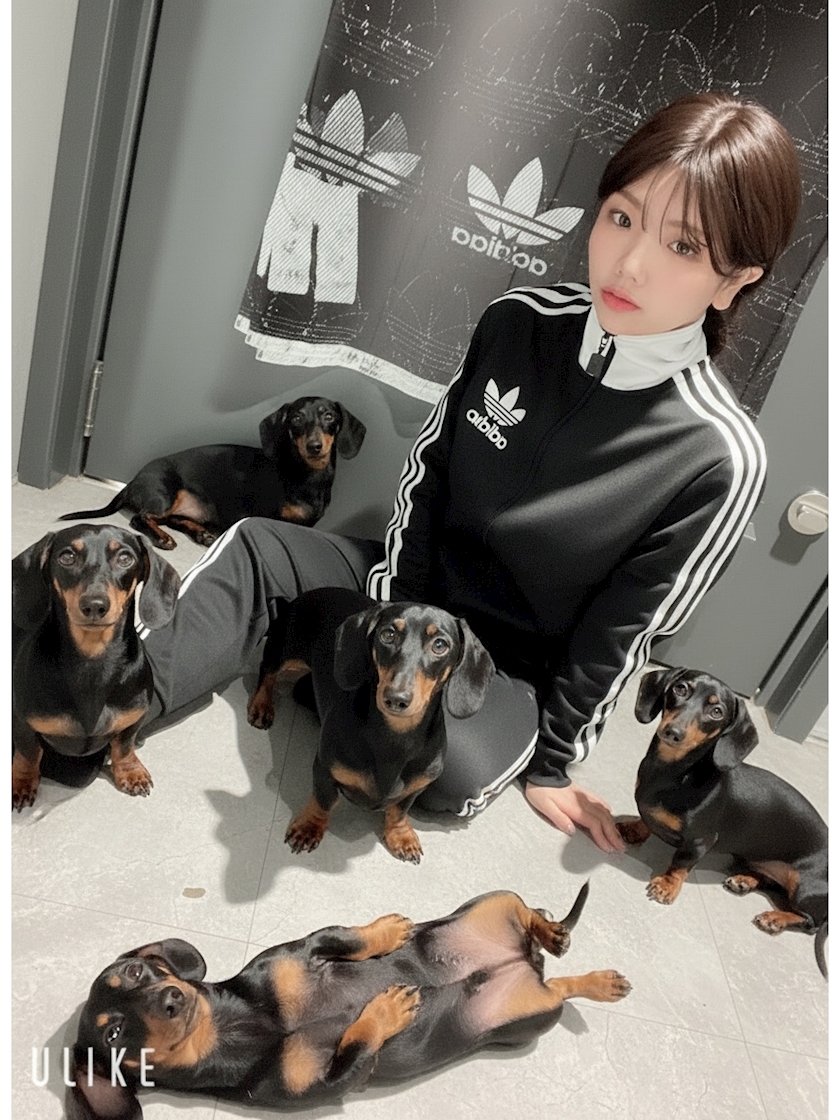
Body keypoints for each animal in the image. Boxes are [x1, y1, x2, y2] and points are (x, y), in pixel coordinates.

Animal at [12, 525, 180, 810]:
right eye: (67, 556)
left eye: (125, 558)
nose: (94, 605)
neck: (93, 662)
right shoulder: (21, 720)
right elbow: (29, 751)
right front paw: (22, 781)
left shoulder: (134, 717)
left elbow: (124, 744)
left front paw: (130, 772)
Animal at [59, 397, 366, 549]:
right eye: (297, 418)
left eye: (329, 416)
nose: (315, 446)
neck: (306, 476)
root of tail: (133, 481)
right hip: (164, 494)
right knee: (141, 518)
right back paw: (163, 538)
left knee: (175, 520)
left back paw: (201, 534)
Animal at [65, 883, 630, 1118]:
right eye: (114, 1034)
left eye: (135, 970)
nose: (171, 999)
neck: (244, 1025)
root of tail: (525, 962)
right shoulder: (337, 1081)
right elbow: (360, 1041)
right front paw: (389, 1009)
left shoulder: (305, 951)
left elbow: (350, 938)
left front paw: (390, 930)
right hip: (531, 1018)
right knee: (560, 987)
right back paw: (594, 978)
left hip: (495, 903)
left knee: (528, 912)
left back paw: (556, 936)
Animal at [247, 586, 495, 862]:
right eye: (388, 634)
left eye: (440, 645)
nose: (396, 698)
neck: (395, 737)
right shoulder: (324, 769)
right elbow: (323, 801)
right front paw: (309, 827)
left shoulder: (415, 788)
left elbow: (399, 811)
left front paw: (401, 836)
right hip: (284, 650)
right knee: (267, 672)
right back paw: (262, 706)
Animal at [617, 666, 828, 977]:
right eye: (680, 688)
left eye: (717, 711)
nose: (673, 732)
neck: (675, 772)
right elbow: (646, 820)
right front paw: (635, 827)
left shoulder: (700, 840)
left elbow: (680, 864)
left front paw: (667, 886)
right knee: (770, 881)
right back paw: (744, 880)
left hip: (805, 886)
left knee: (811, 922)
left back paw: (774, 918)